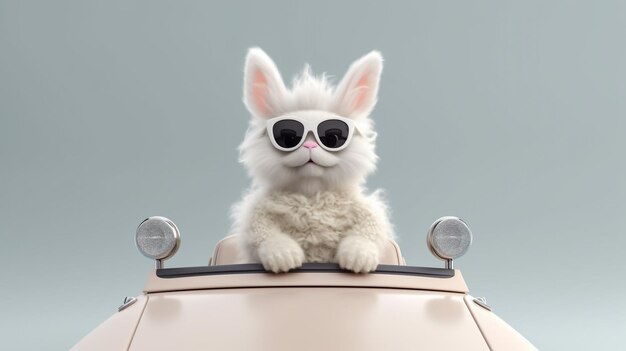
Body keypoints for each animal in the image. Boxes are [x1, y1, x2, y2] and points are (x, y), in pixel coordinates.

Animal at [232, 48, 392, 274]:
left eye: (332, 138)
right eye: (289, 139)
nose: (309, 146)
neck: (311, 194)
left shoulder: (364, 211)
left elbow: (368, 229)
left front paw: (358, 258)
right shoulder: (258, 215)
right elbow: (263, 233)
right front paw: (283, 257)